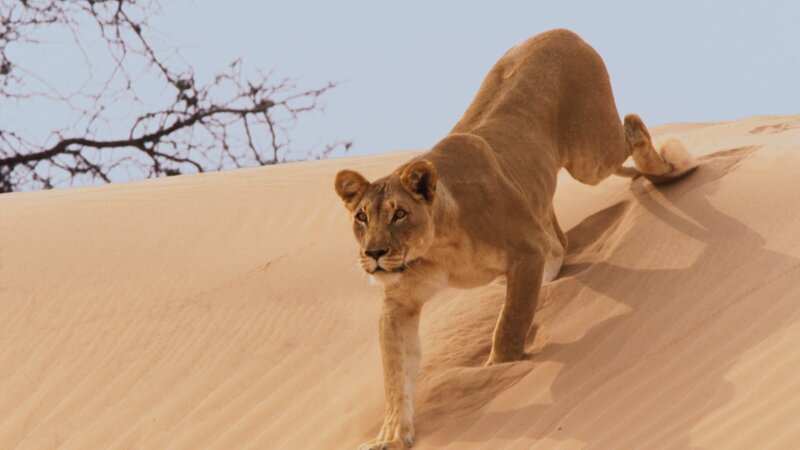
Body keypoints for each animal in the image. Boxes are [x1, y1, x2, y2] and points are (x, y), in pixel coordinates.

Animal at [334, 29, 697, 449]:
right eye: (361, 217)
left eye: (399, 214)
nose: (374, 253)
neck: (437, 247)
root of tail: (562, 31)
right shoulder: (399, 302)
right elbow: (395, 372)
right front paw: (393, 434)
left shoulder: (524, 252)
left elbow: (509, 323)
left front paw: (496, 372)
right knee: (558, 235)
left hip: (589, 156)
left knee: (632, 126)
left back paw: (672, 165)